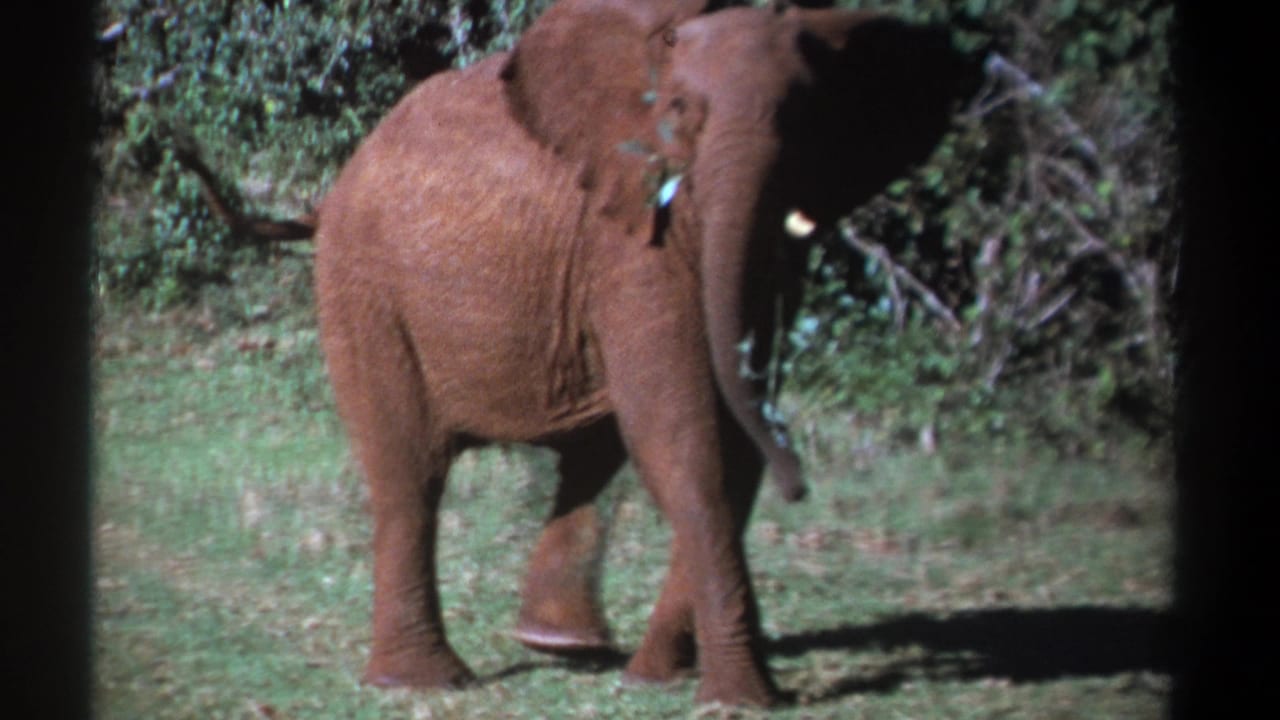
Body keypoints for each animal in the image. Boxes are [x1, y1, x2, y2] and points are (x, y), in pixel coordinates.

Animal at [183, 0, 978, 707]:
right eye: (679, 111)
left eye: (810, 119)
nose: (802, 486)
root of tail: (328, 194)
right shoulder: (627, 238)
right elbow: (683, 436)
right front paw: (739, 700)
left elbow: (721, 442)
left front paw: (660, 680)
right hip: (363, 290)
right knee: (410, 473)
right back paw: (427, 683)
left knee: (587, 454)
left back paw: (563, 648)